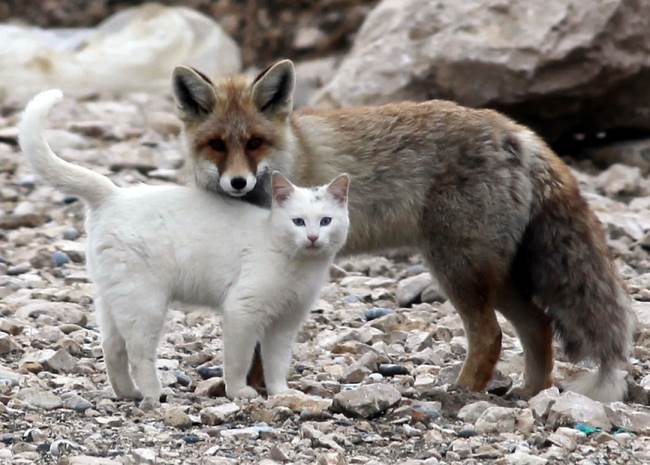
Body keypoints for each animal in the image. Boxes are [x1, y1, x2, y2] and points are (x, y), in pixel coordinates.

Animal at [17, 89, 350, 406]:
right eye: (298, 221)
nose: (312, 238)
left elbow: (277, 364)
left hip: (113, 300)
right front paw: (238, 392)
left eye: (325, 221)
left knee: (112, 348)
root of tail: (114, 194)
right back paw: (154, 396)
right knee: (138, 355)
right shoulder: (242, 311)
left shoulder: (285, 324)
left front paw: (282, 394)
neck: (297, 264)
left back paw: (128, 394)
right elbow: (238, 361)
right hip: (145, 305)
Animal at [170, 59, 632, 400]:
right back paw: (531, 393)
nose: (237, 182)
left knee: (490, 336)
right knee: (537, 326)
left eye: (254, 143)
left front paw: (255, 388)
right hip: (496, 276)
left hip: (457, 267)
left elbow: (259, 344)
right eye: (217, 145)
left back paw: (461, 392)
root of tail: (517, 131)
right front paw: (251, 387)